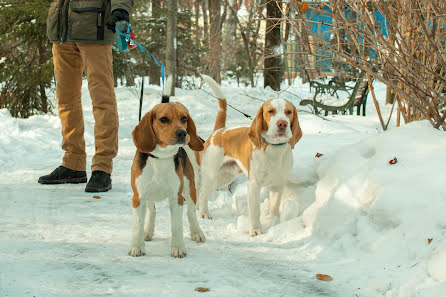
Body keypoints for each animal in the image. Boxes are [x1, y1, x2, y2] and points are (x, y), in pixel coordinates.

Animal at [129, 100, 206, 256]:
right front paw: (137, 246)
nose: (183, 133)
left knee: (191, 212)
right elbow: (138, 225)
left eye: (184, 118)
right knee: (152, 210)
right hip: (148, 195)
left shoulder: (176, 198)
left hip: (189, 188)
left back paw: (197, 232)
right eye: (163, 119)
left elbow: (176, 226)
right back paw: (148, 231)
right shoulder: (138, 197)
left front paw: (178, 247)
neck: (161, 157)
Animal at [199, 75, 302, 236]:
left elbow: (274, 207)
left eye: (289, 112)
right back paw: (203, 213)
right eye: (271, 111)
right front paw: (256, 230)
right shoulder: (254, 185)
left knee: (201, 193)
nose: (282, 124)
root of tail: (220, 131)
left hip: (223, 177)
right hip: (211, 174)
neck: (274, 149)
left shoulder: (278, 184)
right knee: (203, 193)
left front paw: (273, 222)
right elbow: (255, 211)